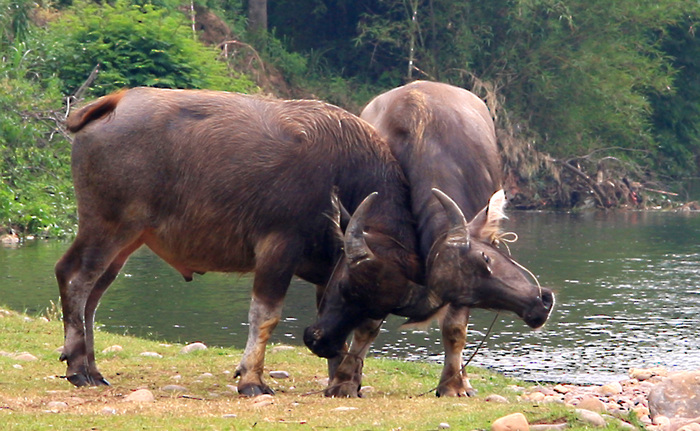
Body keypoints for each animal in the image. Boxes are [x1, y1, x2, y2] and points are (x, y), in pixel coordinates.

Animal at [56, 88, 422, 398]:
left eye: (375, 309)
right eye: (347, 287)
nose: (319, 343)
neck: (342, 173)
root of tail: (113, 102)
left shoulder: (329, 270)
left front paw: (342, 381)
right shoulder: (279, 248)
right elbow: (265, 316)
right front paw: (251, 379)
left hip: (128, 239)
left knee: (93, 295)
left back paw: (93, 368)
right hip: (107, 225)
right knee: (75, 277)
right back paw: (78, 368)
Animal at [304, 80, 556, 398]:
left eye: (488, 257)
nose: (541, 303)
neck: (428, 141)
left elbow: (454, 330)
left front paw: (453, 385)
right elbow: (367, 329)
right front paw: (345, 380)